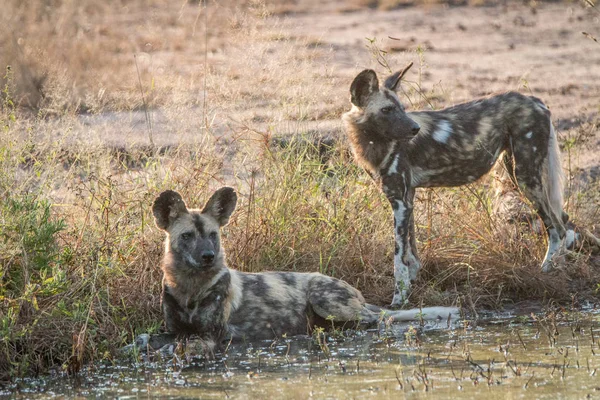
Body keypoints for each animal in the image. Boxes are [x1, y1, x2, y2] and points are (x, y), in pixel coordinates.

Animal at [151, 187, 460, 346]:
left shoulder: (212, 334)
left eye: (213, 234)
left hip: (327, 300)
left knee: (378, 320)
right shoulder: (174, 329)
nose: (208, 256)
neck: (190, 287)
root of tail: (358, 295)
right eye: (187, 236)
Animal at [344, 63, 568, 306]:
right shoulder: (407, 199)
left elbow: (399, 258)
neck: (374, 143)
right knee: (563, 220)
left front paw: (399, 300)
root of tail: (534, 100)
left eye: (401, 108)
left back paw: (548, 270)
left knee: (558, 228)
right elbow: (412, 254)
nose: (415, 129)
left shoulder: (400, 202)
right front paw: (411, 285)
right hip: (518, 173)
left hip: (525, 178)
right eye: (387, 110)